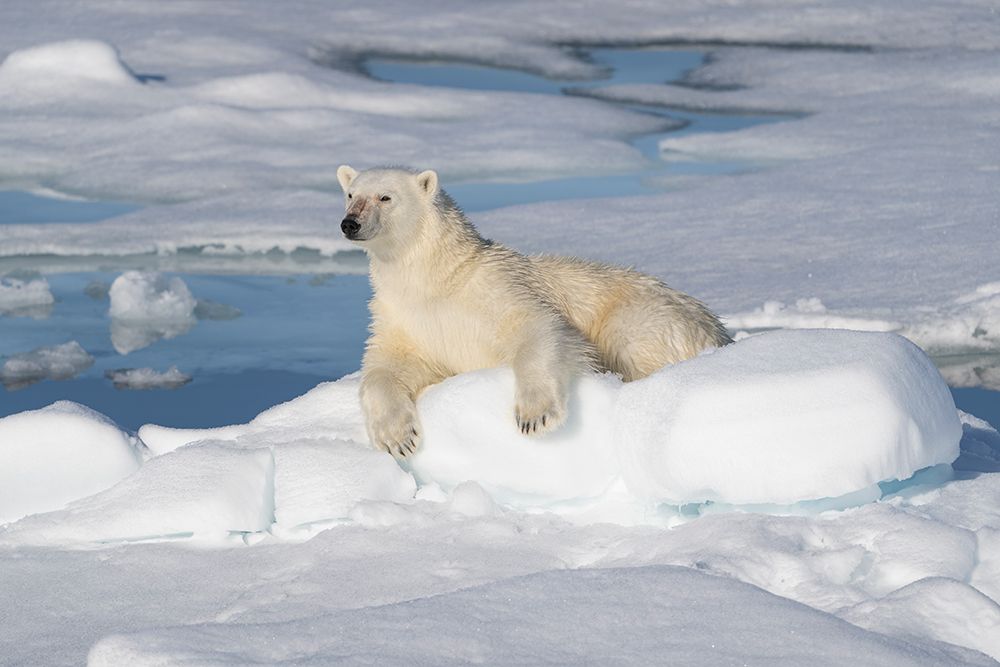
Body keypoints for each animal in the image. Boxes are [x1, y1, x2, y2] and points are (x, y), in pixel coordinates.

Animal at [336, 165, 732, 457]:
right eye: (351, 195)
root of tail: (718, 329)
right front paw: (398, 438)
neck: (436, 280)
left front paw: (534, 415)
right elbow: (385, 368)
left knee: (634, 337)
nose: (350, 223)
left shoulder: (495, 288)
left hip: (654, 314)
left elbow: (539, 327)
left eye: (385, 197)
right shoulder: (404, 319)